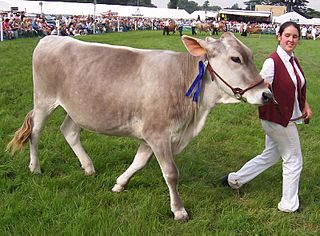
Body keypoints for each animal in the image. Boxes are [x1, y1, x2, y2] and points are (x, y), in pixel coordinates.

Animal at [6, 32, 272, 221]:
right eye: (236, 58)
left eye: (250, 55)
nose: (267, 94)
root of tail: (51, 37)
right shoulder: (158, 134)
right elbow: (171, 173)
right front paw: (179, 211)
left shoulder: (151, 135)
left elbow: (139, 162)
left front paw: (119, 184)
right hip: (44, 99)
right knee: (35, 132)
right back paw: (35, 167)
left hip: (79, 107)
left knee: (69, 131)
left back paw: (88, 167)